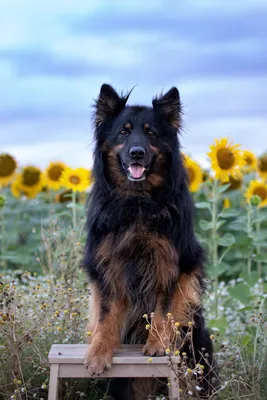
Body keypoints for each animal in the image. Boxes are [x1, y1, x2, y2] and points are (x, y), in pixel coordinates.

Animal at [84, 83, 218, 396]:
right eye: (124, 132)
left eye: (151, 133)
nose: (136, 152)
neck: (138, 202)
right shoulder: (106, 265)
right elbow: (106, 314)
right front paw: (99, 351)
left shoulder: (171, 264)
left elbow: (164, 308)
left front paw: (157, 343)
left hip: (200, 343)